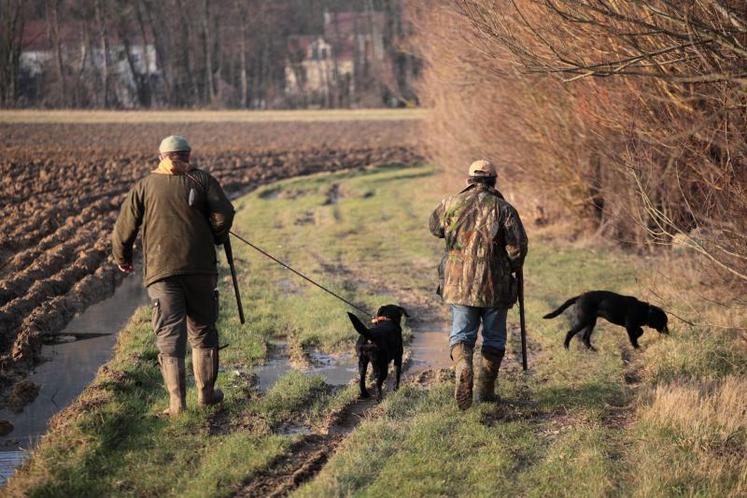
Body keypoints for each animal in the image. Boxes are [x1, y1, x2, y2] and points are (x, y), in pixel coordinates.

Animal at [544, 292, 672, 350]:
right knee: (570, 333)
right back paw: (566, 347)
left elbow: (640, 331)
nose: (668, 333)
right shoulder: (629, 325)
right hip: (583, 321)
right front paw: (636, 347)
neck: (645, 311)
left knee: (585, 338)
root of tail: (579, 297)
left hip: (591, 322)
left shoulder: (632, 325)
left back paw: (593, 350)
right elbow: (635, 335)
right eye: (663, 322)